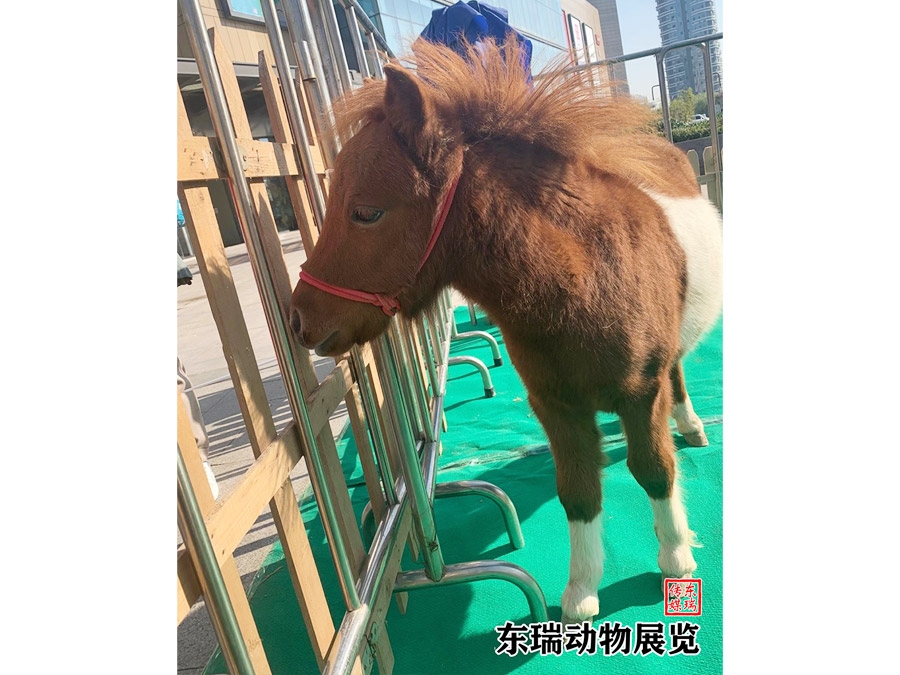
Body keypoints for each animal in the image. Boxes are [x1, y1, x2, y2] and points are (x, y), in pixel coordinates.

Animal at [289, 38, 723, 623]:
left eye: (365, 212)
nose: (300, 320)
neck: (586, 281)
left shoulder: (642, 394)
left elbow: (656, 469)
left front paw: (676, 559)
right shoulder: (555, 407)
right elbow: (578, 491)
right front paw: (580, 593)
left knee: (677, 377)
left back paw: (693, 425)